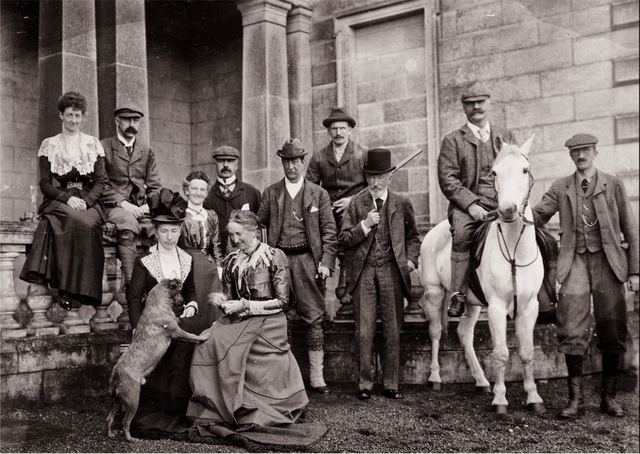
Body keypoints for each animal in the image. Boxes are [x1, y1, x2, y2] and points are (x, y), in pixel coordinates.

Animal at [107, 278, 210, 442]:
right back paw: (131, 439)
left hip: (117, 401)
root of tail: (116, 372)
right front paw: (204, 336)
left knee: (109, 418)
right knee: (125, 422)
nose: (184, 301)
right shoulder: (177, 332)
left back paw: (110, 434)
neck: (157, 304)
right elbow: (193, 336)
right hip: (132, 399)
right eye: (179, 291)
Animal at [420, 135, 544, 414]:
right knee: (435, 332)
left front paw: (533, 397)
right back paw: (435, 377)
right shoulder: (497, 307)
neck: (515, 251)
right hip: (434, 293)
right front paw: (500, 399)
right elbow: (500, 352)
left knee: (464, 334)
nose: (508, 210)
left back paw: (481, 380)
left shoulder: (529, 307)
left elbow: (528, 352)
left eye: (525, 170)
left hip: (473, 303)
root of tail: (434, 230)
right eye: (494, 172)